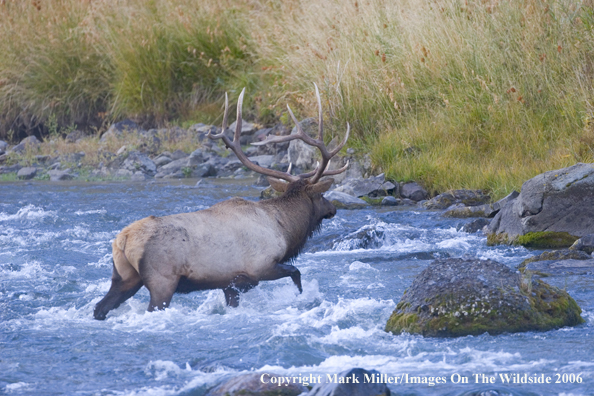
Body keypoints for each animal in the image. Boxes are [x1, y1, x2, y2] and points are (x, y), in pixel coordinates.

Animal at [93, 85, 350, 320]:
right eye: (321, 195)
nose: (333, 209)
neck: (285, 229)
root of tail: (123, 240)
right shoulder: (260, 266)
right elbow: (296, 273)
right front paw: (301, 296)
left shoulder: (231, 283)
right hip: (162, 279)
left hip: (124, 276)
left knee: (100, 307)